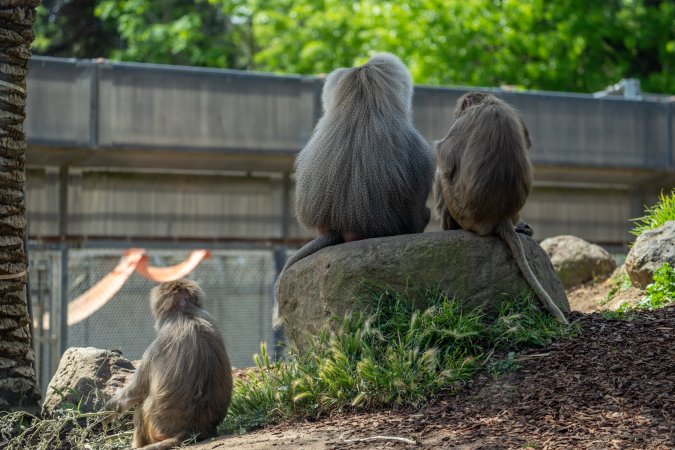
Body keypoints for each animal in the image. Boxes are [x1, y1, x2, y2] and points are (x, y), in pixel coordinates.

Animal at [105, 279, 232, 449]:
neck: (187, 314)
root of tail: (194, 428)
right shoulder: (209, 316)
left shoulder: (157, 345)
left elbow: (136, 391)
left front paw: (105, 413)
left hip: (156, 427)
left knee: (141, 405)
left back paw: (136, 444)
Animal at [433, 92, 568, 324]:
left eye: (460, 112)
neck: (490, 103)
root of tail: (499, 216)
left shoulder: (464, 121)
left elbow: (444, 158)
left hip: (462, 210)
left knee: (442, 172)